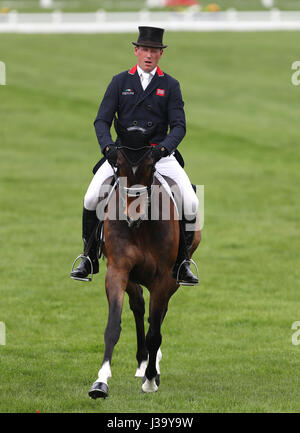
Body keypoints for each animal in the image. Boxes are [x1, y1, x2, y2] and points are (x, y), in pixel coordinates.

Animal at [88, 123, 200, 396]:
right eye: (118, 164)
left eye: (150, 165)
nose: (132, 216)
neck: (142, 227)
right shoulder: (118, 269)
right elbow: (113, 326)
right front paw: (101, 382)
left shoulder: (164, 278)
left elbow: (155, 332)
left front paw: (150, 380)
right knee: (139, 306)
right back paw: (142, 362)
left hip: (173, 279)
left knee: (156, 317)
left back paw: (152, 366)